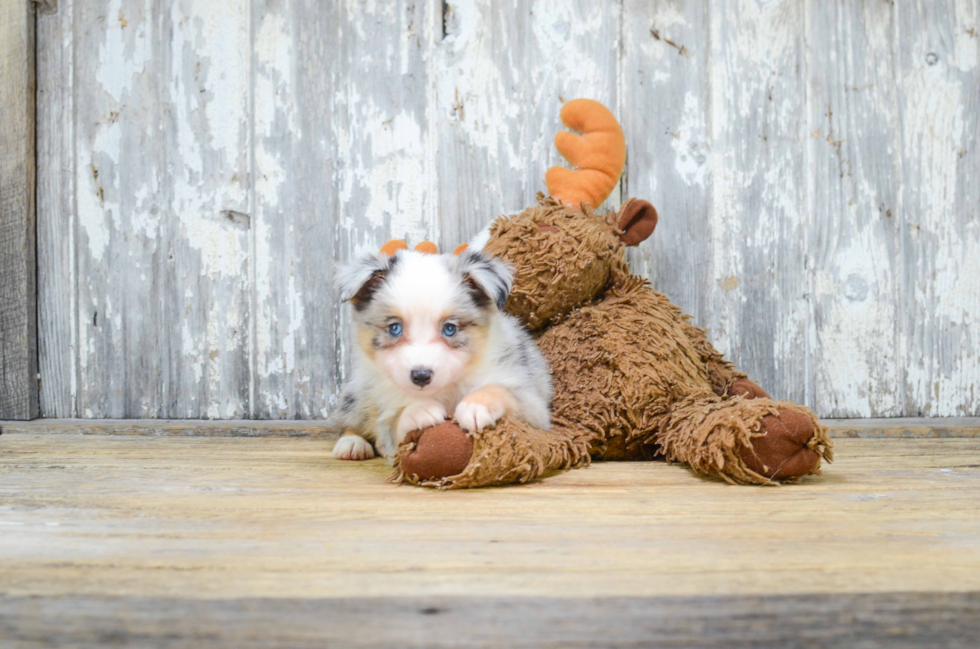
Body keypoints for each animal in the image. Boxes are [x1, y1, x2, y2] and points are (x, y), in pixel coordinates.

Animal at [326, 246, 548, 458]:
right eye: (395, 328)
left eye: (449, 328)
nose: (421, 376)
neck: (445, 388)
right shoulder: (386, 412)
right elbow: (395, 423)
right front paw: (417, 411)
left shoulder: (533, 405)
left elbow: (501, 390)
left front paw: (476, 405)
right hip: (359, 392)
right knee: (351, 420)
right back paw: (351, 443)